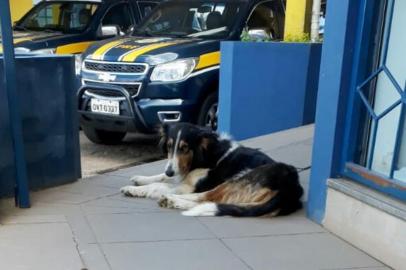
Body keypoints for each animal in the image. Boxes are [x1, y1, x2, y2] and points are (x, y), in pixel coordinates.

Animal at [120, 123, 304, 217]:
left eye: (185, 148)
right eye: (170, 146)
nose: (170, 172)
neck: (204, 155)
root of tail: (291, 189)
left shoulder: (189, 186)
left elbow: (161, 185)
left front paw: (137, 190)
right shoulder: (178, 172)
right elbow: (161, 177)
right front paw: (140, 179)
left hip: (239, 178)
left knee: (207, 197)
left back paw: (171, 200)